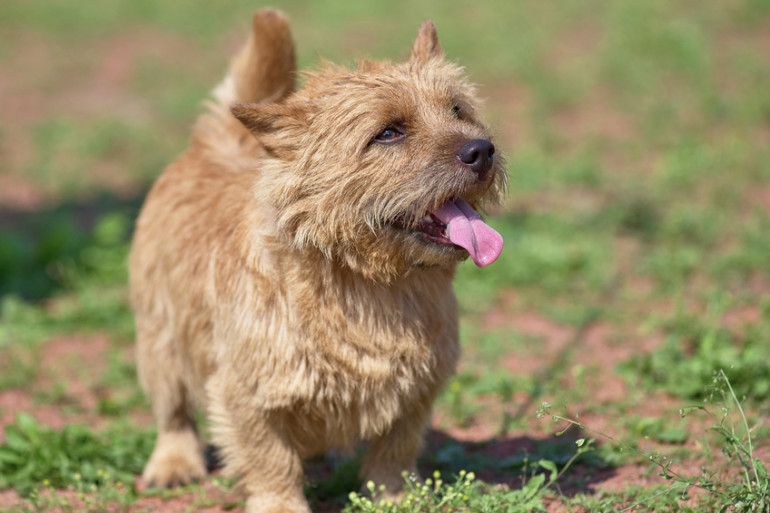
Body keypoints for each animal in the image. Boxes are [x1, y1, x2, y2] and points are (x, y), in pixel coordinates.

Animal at [130, 9, 504, 512]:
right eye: (389, 132)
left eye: (458, 111)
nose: (481, 149)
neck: (369, 283)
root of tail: (217, 143)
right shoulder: (247, 391)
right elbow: (271, 458)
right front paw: (280, 505)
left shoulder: (418, 388)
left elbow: (396, 447)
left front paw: (393, 497)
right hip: (160, 337)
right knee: (173, 412)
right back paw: (173, 463)